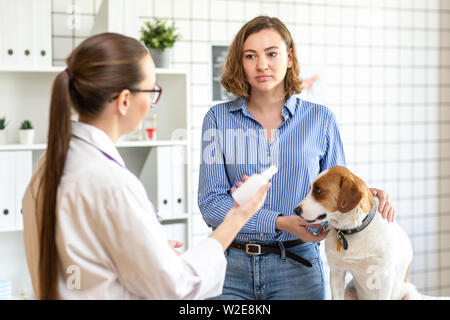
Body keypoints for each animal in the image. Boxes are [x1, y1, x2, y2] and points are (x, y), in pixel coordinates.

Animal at [294, 166, 420, 298]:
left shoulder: (384, 277)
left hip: (411, 295)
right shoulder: (336, 271)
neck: (351, 230)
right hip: (349, 290)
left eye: (318, 190)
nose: (295, 210)